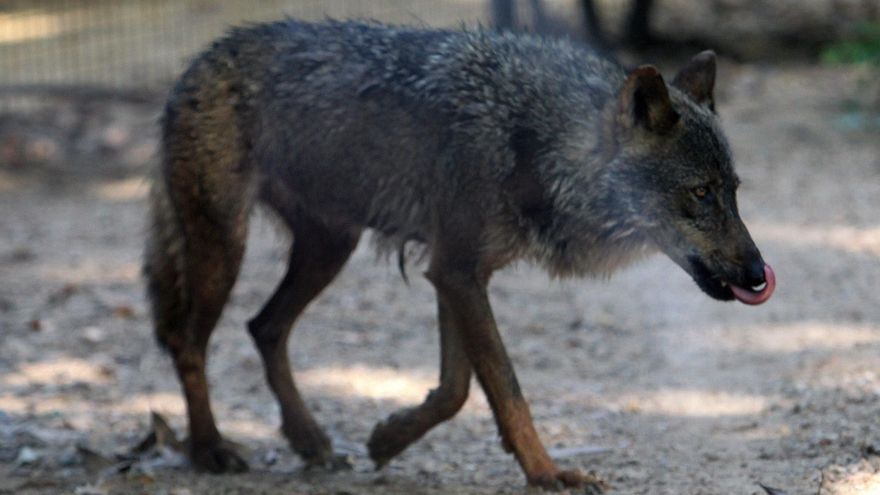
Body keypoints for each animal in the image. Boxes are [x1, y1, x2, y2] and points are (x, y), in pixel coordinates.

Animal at [144, 19, 775, 491]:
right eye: (701, 193)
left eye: (734, 190)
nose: (757, 274)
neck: (535, 141)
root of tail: (200, 59)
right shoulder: (456, 273)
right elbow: (506, 386)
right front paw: (548, 474)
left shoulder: (457, 272)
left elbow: (456, 390)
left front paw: (389, 437)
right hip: (225, 246)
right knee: (187, 340)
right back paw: (210, 448)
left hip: (329, 249)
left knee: (264, 327)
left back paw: (311, 441)